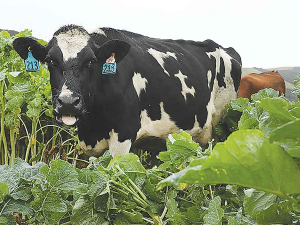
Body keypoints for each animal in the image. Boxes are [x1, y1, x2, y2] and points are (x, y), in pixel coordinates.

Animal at [13, 24, 241, 157]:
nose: (68, 103)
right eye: (50, 60)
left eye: (90, 61)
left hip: (219, 127)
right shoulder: (90, 146)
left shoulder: (123, 136)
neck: (94, 122)